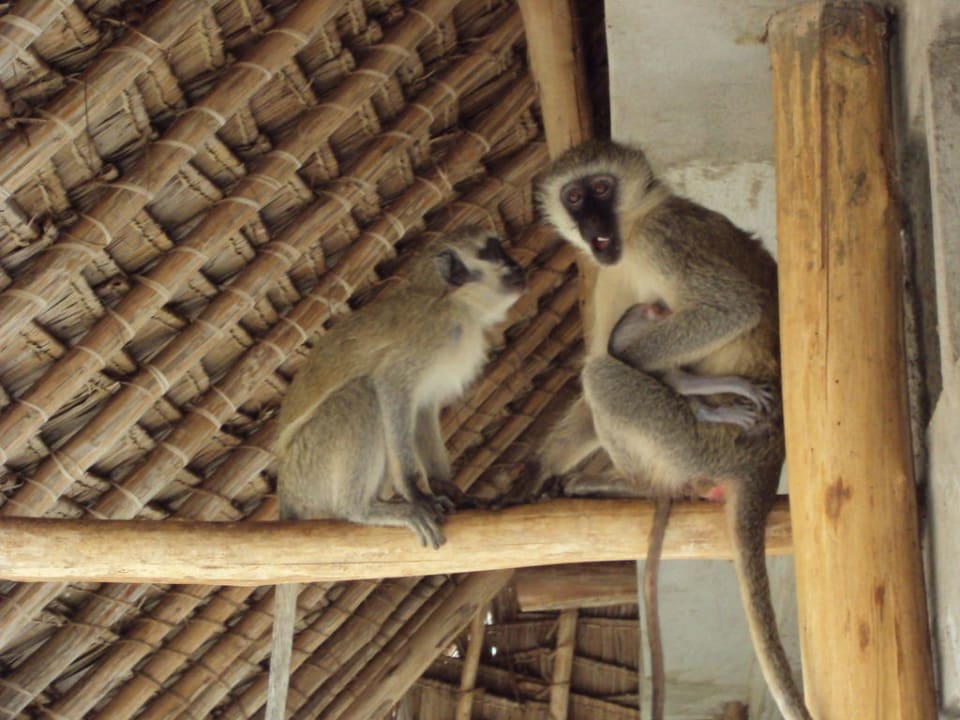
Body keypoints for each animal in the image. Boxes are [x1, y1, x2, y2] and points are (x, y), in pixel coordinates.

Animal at [265, 226, 525, 720]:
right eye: (494, 250)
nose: (518, 265)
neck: (455, 303)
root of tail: (285, 487)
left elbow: (422, 408)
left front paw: (450, 490)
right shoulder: (430, 334)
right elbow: (391, 389)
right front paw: (416, 493)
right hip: (313, 464)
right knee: (363, 392)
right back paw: (365, 509)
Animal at [534, 139, 811, 720]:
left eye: (601, 188)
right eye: (575, 197)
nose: (593, 221)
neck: (633, 225)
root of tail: (766, 459)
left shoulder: (666, 237)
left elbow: (732, 309)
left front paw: (677, 377)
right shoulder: (609, 274)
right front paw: (536, 470)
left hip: (701, 447)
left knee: (605, 374)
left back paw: (641, 476)